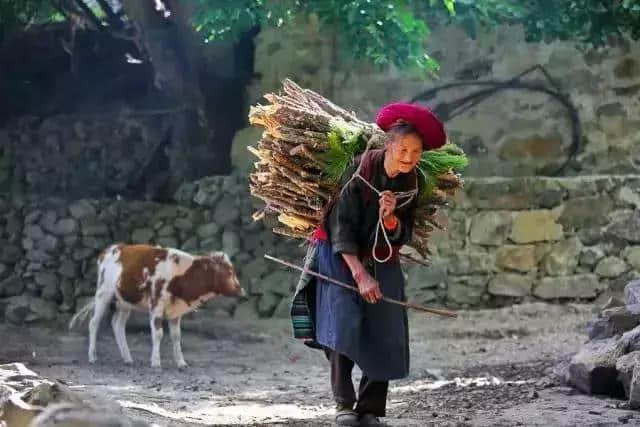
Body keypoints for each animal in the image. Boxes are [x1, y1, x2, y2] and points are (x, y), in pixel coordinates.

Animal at [69, 244, 245, 368]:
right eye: (229, 272)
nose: (242, 291)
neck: (181, 275)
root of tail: (112, 249)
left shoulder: (175, 311)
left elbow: (176, 336)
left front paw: (181, 362)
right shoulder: (156, 305)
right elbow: (158, 334)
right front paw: (155, 362)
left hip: (124, 302)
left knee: (117, 324)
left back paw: (127, 358)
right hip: (103, 293)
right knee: (94, 323)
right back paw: (92, 356)